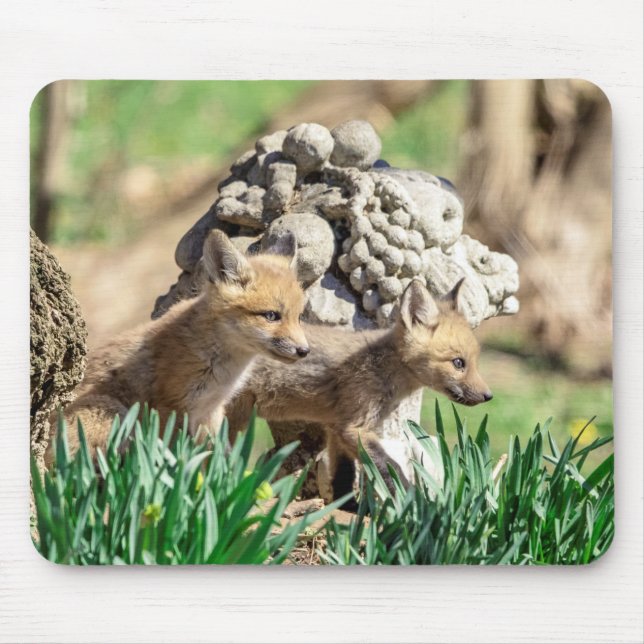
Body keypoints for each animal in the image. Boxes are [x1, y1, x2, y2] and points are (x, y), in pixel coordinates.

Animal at [45, 230, 309, 467]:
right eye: (271, 316)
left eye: (299, 317)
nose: (304, 351)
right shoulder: (170, 408)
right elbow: (172, 456)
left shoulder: (211, 410)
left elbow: (216, 459)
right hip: (113, 412)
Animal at [225, 278, 492, 503]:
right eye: (458, 363)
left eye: (474, 362)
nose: (488, 396)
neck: (383, 368)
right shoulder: (355, 428)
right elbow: (391, 467)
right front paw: (414, 503)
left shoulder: (337, 426)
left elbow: (343, 476)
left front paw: (344, 507)